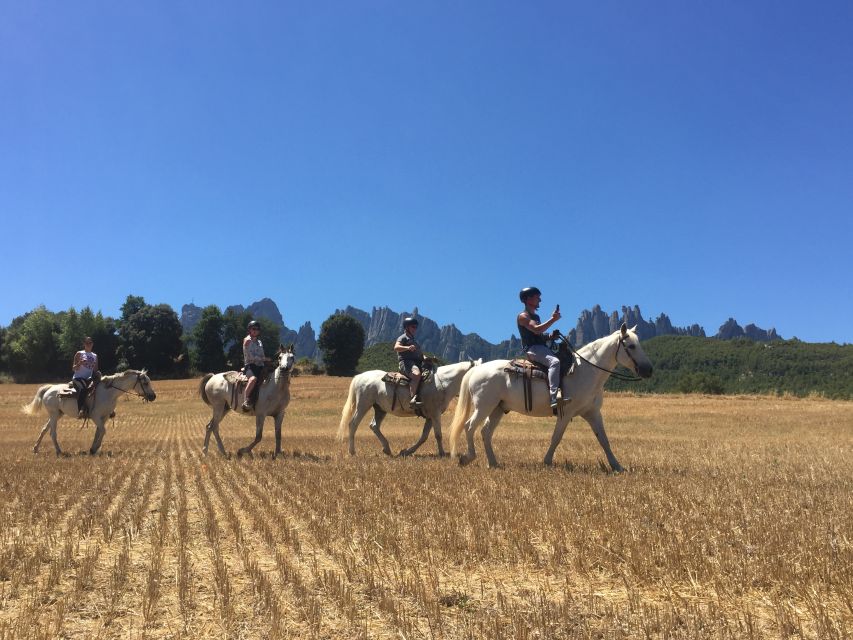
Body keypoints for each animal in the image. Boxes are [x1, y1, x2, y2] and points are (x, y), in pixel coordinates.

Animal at [22, 370, 156, 456]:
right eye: (145, 383)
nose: (153, 396)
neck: (109, 392)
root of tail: (49, 388)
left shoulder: (104, 417)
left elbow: (99, 432)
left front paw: (93, 449)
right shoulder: (95, 416)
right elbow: (103, 431)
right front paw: (94, 448)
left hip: (58, 414)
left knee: (44, 429)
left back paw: (35, 449)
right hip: (54, 414)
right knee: (52, 433)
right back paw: (59, 451)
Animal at [338, 358, 480, 458]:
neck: (443, 383)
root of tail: (359, 377)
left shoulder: (430, 416)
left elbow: (424, 437)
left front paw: (406, 452)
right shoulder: (435, 414)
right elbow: (438, 435)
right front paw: (442, 453)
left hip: (380, 409)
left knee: (374, 426)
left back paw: (387, 449)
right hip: (363, 405)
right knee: (353, 424)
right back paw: (352, 452)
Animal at [450, 324, 648, 470]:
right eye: (631, 346)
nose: (649, 369)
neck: (585, 371)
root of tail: (476, 370)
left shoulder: (593, 413)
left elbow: (604, 440)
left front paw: (617, 466)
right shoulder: (565, 413)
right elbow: (556, 438)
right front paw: (547, 461)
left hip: (497, 409)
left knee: (485, 432)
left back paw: (493, 463)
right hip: (483, 407)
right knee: (469, 427)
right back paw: (468, 457)